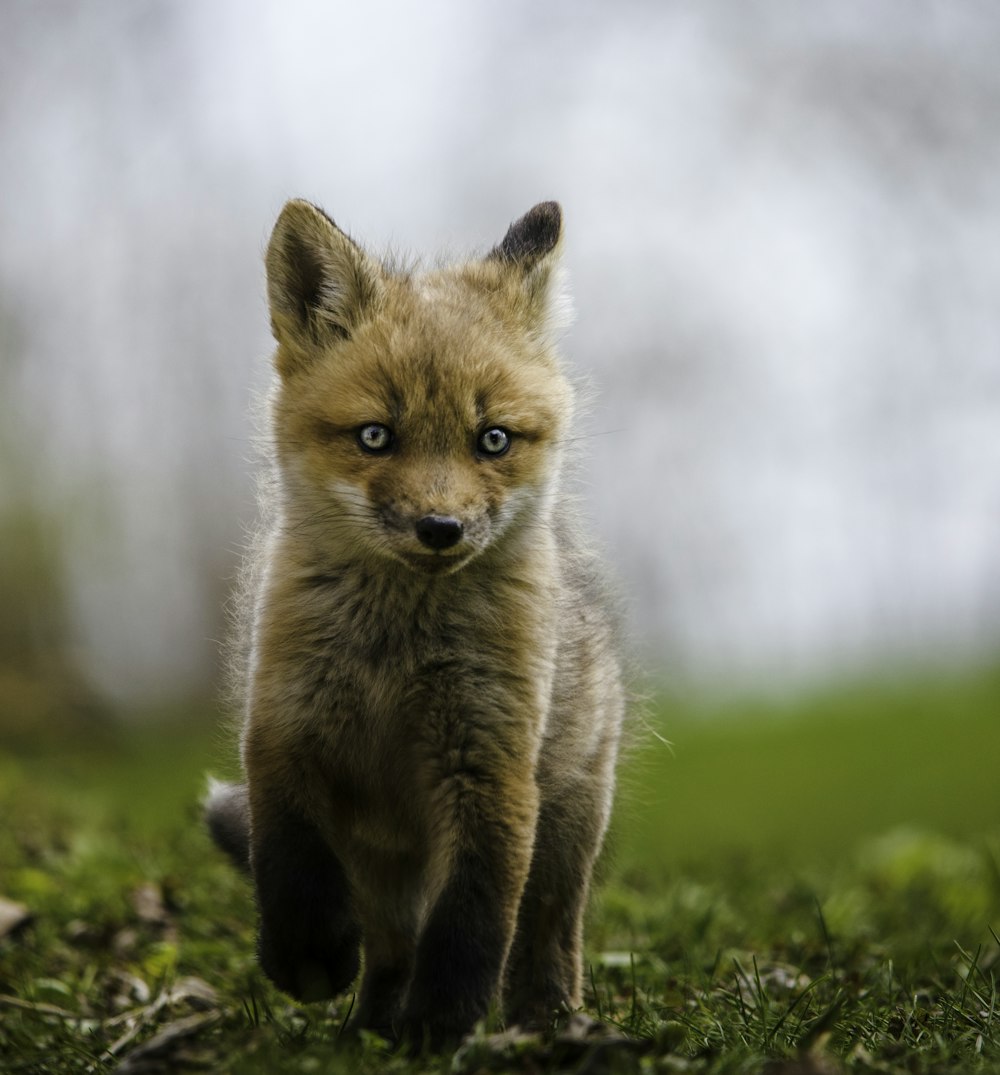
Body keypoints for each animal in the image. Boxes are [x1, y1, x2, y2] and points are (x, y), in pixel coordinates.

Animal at [202, 197, 623, 1044]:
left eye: (492, 439)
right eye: (375, 435)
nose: (440, 528)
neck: (395, 652)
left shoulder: (490, 766)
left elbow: (473, 916)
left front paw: (440, 1024)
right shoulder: (282, 731)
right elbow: (288, 861)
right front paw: (307, 956)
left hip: (568, 830)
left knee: (546, 934)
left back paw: (547, 1024)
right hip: (378, 862)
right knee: (390, 945)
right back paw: (366, 1027)